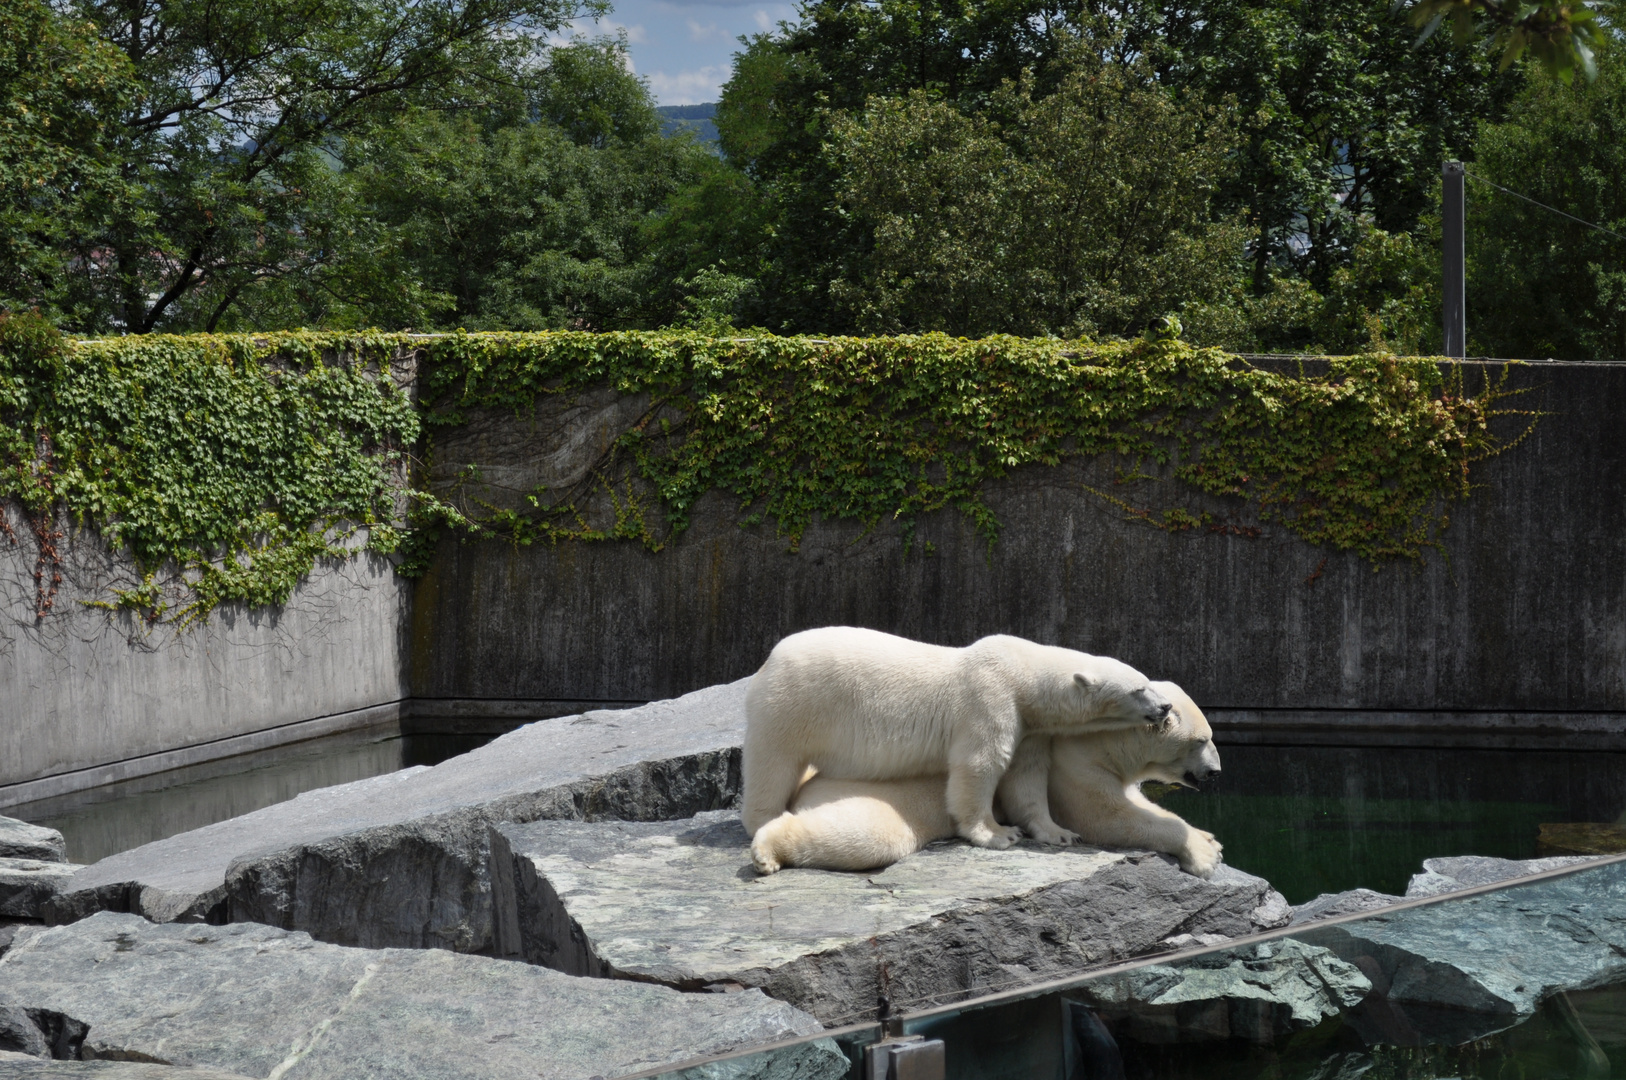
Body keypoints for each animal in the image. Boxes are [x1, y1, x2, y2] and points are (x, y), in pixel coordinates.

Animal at [744, 624, 1177, 852]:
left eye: (1147, 681)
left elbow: (1026, 777)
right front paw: (997, 834)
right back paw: (765, 820)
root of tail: (771, 657)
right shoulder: (989, 698)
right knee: (772, 762)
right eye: (1139, 689)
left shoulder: (1030, 727)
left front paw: (1059, 832)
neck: (1023, 675)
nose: (1166, 706)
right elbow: (980, 765)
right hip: (792, 704)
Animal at [747, 683, 1222, 878]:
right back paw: (768, 849)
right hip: (878, 786)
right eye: (1203, 739)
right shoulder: (1069, 759)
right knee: (871, 831)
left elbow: (1135, 802)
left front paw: (1208, 837)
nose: (1216, 771)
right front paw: (1203, 854)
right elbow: (1104, 815)